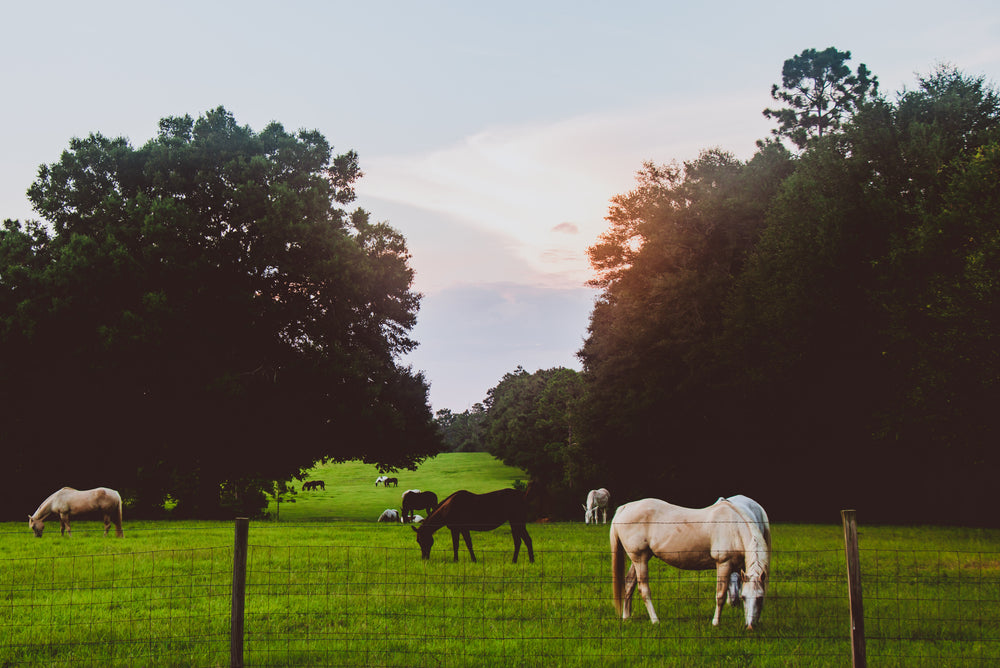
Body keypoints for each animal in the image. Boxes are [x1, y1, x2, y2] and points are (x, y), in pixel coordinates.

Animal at [604, 498, 768, 628]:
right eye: (744, 598)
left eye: (760, 598)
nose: (750, 626)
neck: (733, 527)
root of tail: (625, 507)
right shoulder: (723, 564)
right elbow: (720, 595)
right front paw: (715, 623)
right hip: (640, 559)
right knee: (644, 590)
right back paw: (655, 621)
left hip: (639, 558)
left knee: (629, 584)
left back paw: (626, 617)